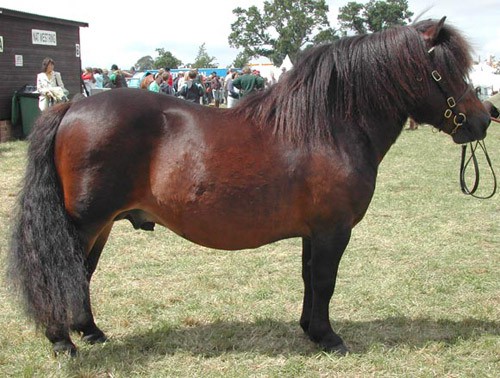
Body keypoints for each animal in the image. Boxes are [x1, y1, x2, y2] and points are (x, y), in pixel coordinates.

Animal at [8, 17, 492, 354]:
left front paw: (309, 330)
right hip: (85, 223)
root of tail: (71, 107)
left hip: (102, 224)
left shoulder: (314, 232)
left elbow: (309, 279)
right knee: (59, 271)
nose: (485, 118)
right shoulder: (334, 231)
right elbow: (326, 281)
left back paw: (89, 332)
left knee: (81, 274)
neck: (327, 127)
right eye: (446, 71)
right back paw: (62, 341)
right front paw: (329, 338)